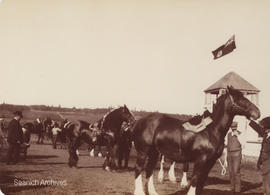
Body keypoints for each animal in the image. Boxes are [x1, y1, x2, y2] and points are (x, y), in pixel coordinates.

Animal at [132, 86, 260, 195]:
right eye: (239, 98)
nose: (257, 112)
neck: (211, 130)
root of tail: (139, 121)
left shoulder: (210, 161)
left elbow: (201, 182)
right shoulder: (200, 159)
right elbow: (194, 180)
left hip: (154, 153)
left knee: (149, 170)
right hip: (143, 152)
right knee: (139, 170)